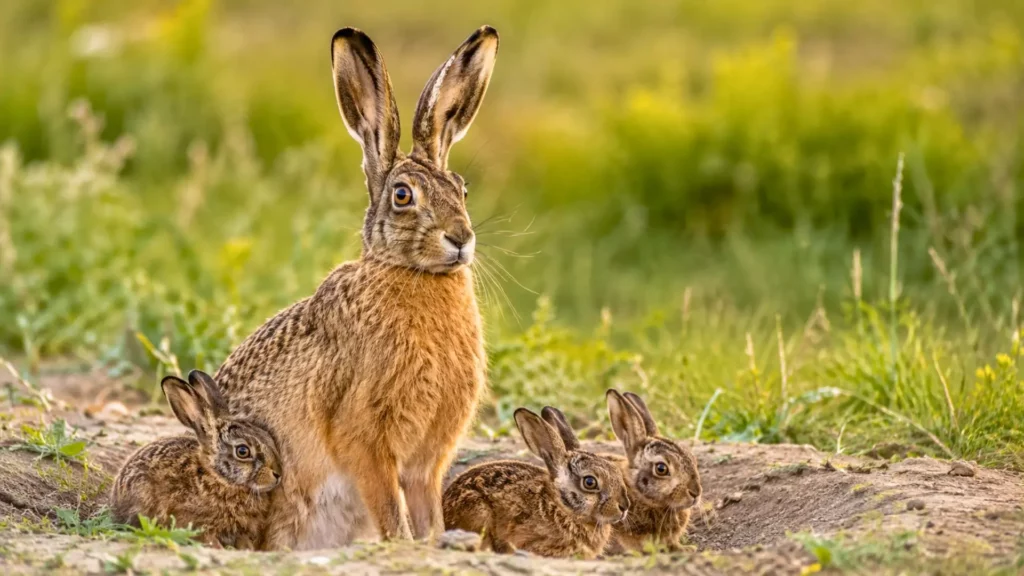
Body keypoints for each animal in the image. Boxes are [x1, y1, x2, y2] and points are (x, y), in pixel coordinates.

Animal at [210, 26, 499, 549]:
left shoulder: (428, 457)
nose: (461, 239)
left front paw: (435, 541)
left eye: (462, 189)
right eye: (402, 195)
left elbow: (425, 504)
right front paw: (403, 543)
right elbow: (386, 500)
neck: (413, 274)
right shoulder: (363, 434)